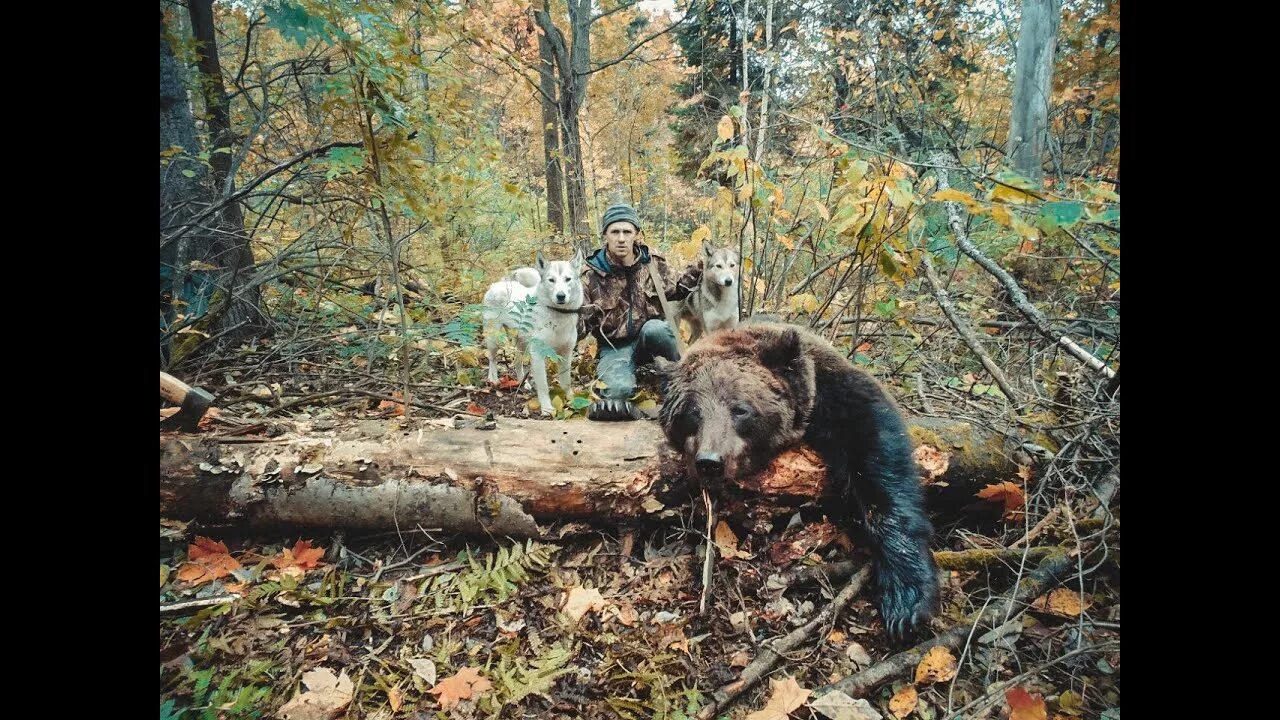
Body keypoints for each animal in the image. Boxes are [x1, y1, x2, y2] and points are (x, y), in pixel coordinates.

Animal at [481, 249, 586, 415]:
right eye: (551, 280)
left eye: (568, 279)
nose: (561, 296)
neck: (557, 315)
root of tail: (497, 284)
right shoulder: (538, 355)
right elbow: (543, 386)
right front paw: (547, 408)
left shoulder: (566, 354)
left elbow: (567, 382)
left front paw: (571, 400)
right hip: (494, 339)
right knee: (492, 358)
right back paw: (494, 379)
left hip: (522, 344)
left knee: (517, 362)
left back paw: (523, 383)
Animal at [660, 322, 942, 635]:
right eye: (692, 413)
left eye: (740, 409)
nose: (710, 462)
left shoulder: (843, 395)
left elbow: (881, 464)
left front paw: (907, 599)